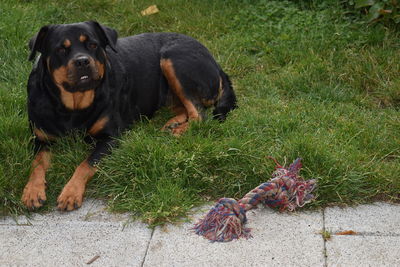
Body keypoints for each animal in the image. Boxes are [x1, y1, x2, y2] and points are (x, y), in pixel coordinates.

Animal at [21, 21, 238, 211]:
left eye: (93, 45)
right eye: (61, 49)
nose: (82, 61)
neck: (72, 107)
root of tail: (217, 65)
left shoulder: (111, 138)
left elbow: (86, 164)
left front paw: (70, 193)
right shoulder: (41, 139)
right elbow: (36, 164)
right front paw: (32, 191)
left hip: (173, 59)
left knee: (198, 113)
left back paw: (179, 130)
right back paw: (172, 124)